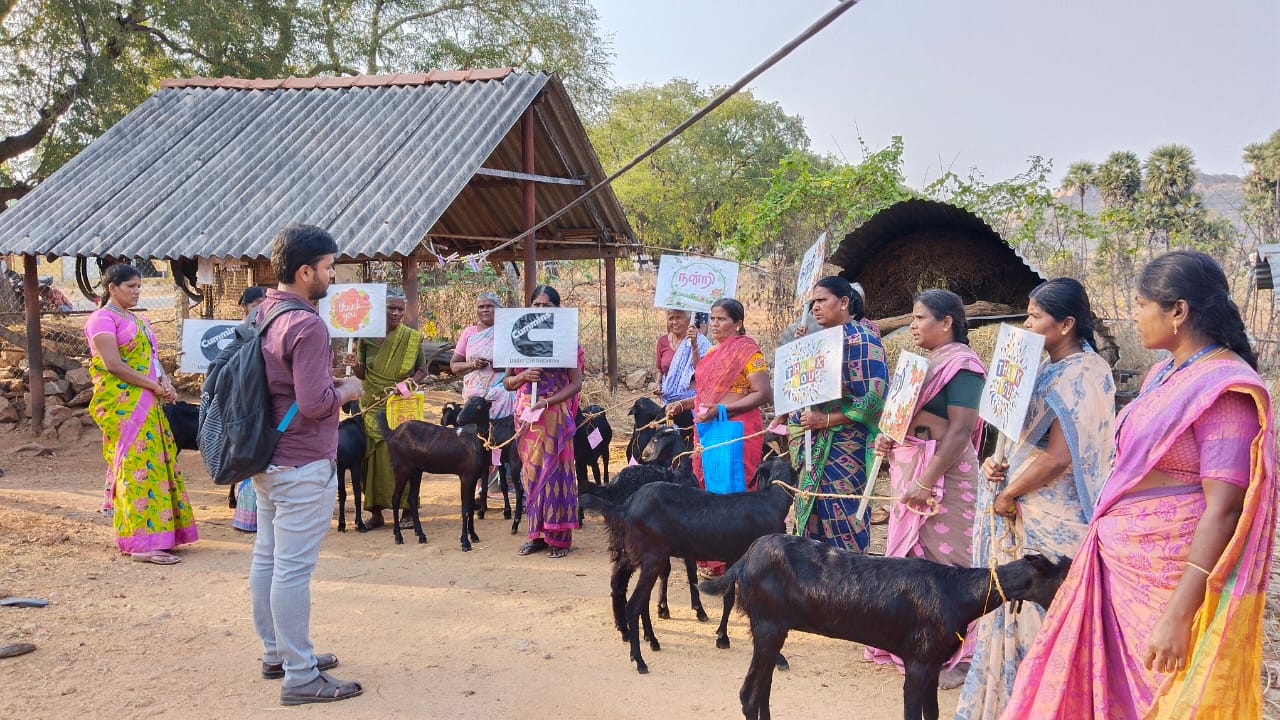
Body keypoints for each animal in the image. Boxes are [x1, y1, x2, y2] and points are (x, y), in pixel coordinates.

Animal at [378, 409, 488, 548]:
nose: (460, 419)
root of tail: (392, 432)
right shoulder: (466, 477)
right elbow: (465, 508)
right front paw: (465, 542)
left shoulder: (473, 478)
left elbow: (471, 507)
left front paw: (473, 536)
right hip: (401, 470)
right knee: (395, 499)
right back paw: (398, 536)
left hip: (416, 472)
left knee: (412, 499)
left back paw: (421, 535)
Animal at [458, 392, 522, 532]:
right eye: (466, 404)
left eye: (478, 407)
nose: (459, 419)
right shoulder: (496, 461)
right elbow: (500, 486)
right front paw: (506, 511)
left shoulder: (493, 462)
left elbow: (487, 485)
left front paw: (483, 511)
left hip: (516, 461)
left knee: (520, 490)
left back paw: (516, 524)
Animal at [586, 453, 793, 671]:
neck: (770, 502)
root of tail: (624, 507)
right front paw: (779, 658)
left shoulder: (732, 558)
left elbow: (728, 599)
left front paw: (722, 637)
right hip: (652, 559)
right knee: (634, 604)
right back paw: (639, 659)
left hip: (637, 555)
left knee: (630, 592)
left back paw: (647, 638)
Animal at [706, 532, 1075, 717]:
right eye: (1065, 576)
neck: (956, 592)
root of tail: (746, 558)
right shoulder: (917, 662)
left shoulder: (934, 663)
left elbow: (932, 714)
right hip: (769, 627)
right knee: (750, 695)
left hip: (772, 631)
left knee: (760, 693)